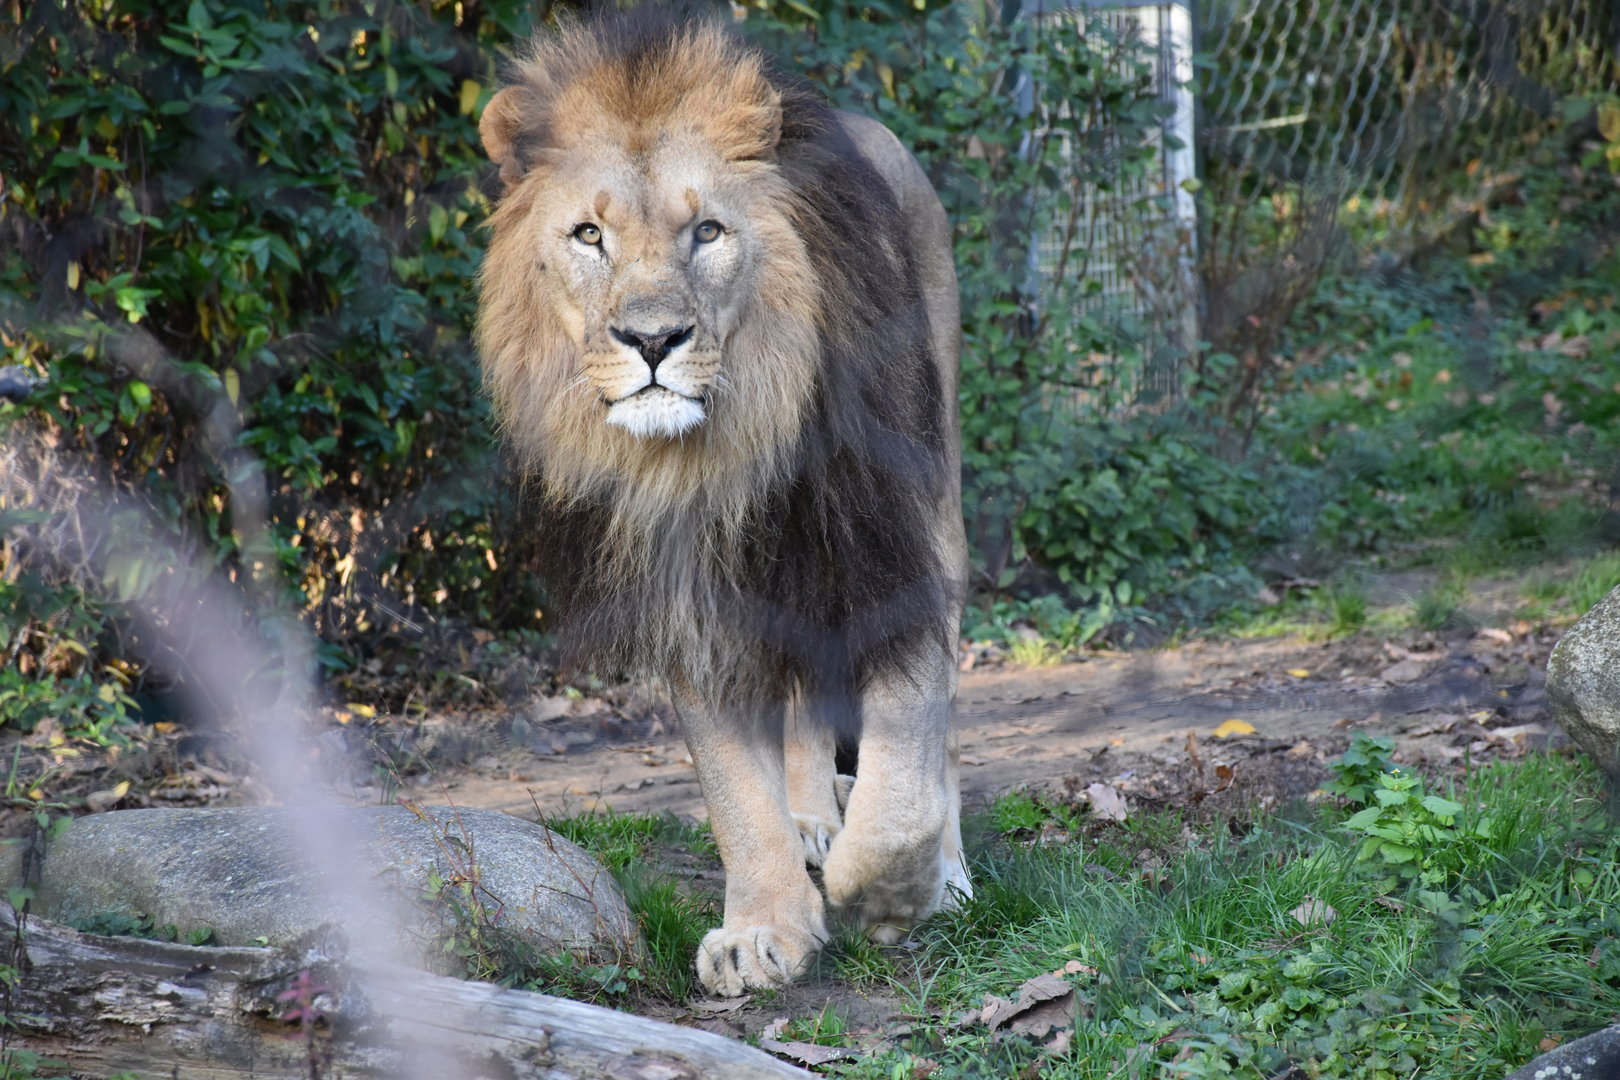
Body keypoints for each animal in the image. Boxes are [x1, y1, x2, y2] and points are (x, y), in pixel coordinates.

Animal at [475, 11, 969, 997]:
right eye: (588, 235)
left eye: (707, 231)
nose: (653, 338)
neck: (723, 456)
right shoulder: (689, 590)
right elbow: (735, 788)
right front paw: (763, 929)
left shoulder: (890, 540)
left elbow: (908, 741)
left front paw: (889, 892)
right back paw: (813, 818)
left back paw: (945, 869)